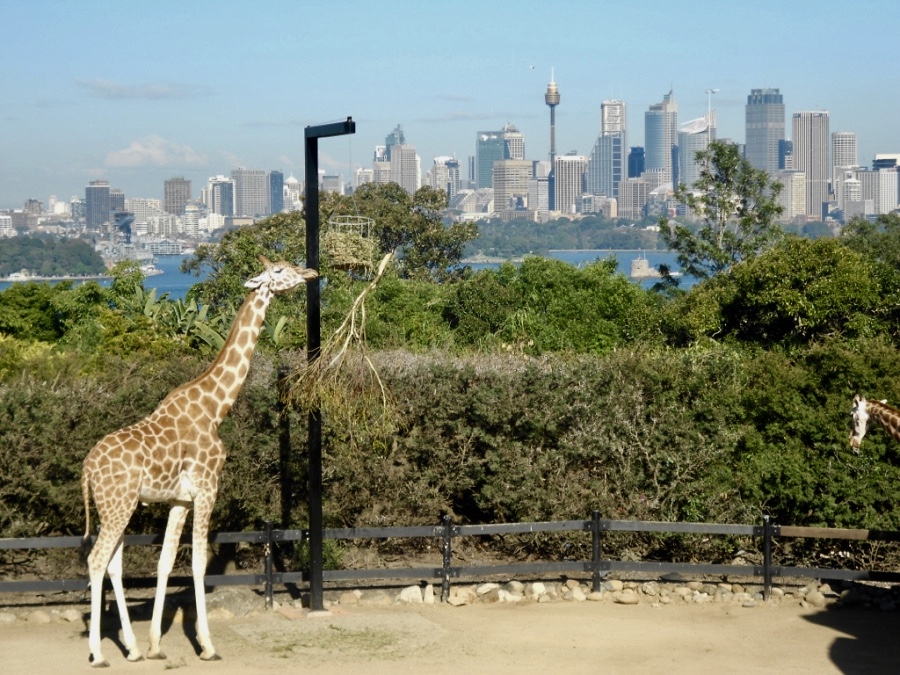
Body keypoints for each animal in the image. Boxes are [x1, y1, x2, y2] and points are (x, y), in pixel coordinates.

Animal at [81, 256, 316, 667]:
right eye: (278, 270)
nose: (309, 273)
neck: (216, 408)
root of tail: (87, 467)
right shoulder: (208, 488)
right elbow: (198, 562)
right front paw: (207, 645)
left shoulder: (179, 499)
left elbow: (165, 561)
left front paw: (156, 644)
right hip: (118, 505)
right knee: (97, 560)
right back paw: (98, 653)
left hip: (116, 506)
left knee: (112, 563)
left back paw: (132, 648)